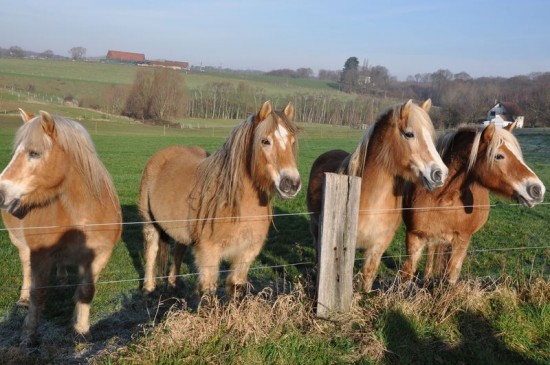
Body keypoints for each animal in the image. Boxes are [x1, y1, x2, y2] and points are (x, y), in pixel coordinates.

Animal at [0, 109, 122, 346]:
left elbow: (86, 291)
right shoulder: (40, 256)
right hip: (19, 242)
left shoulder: (99, 255)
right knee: (25, 267)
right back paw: (23, 298)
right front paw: (28, 334)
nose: (1, 194)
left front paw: (81, 330)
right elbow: (38, 294)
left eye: (34, 153)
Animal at [139, 100, 302, 298]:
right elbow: (208, 293)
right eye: (265, 141)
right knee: (151, 251)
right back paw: (148, 288)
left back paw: (173, 284)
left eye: (292, 141)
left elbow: (235, 288)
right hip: (149, 221)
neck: (236, 205)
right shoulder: (208, 253)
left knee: (178, 250)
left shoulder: (246, 253)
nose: (292, 183)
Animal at [308, 99, 450, 290]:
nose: (440, 174)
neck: (371, 203)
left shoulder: (377, 247)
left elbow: (367, 278)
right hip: (316, 227)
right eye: (409, 134)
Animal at [402, 121, 548, 282]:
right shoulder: (414, 236)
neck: (441, 199)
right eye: (499, 156)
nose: (538, 189)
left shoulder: (461, 241)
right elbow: (406, 275)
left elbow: (450, 277)